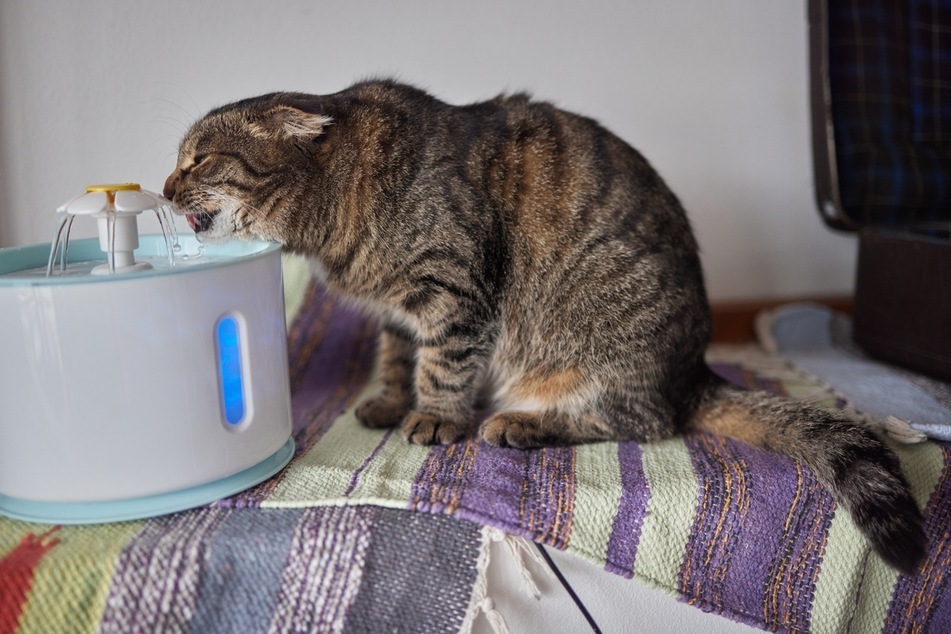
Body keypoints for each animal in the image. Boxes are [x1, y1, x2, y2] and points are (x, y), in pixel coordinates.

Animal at [167, 79, 924, 572]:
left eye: (198, 158)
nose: (166, 186)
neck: (336, 226)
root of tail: (692, 374)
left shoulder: (455, 291)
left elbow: (442, 364)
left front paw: (433, 417)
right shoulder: (396, 313)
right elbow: (396, 356)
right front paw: (386, 401)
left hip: (603, 348)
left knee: (644, 421)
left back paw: (520, 423)